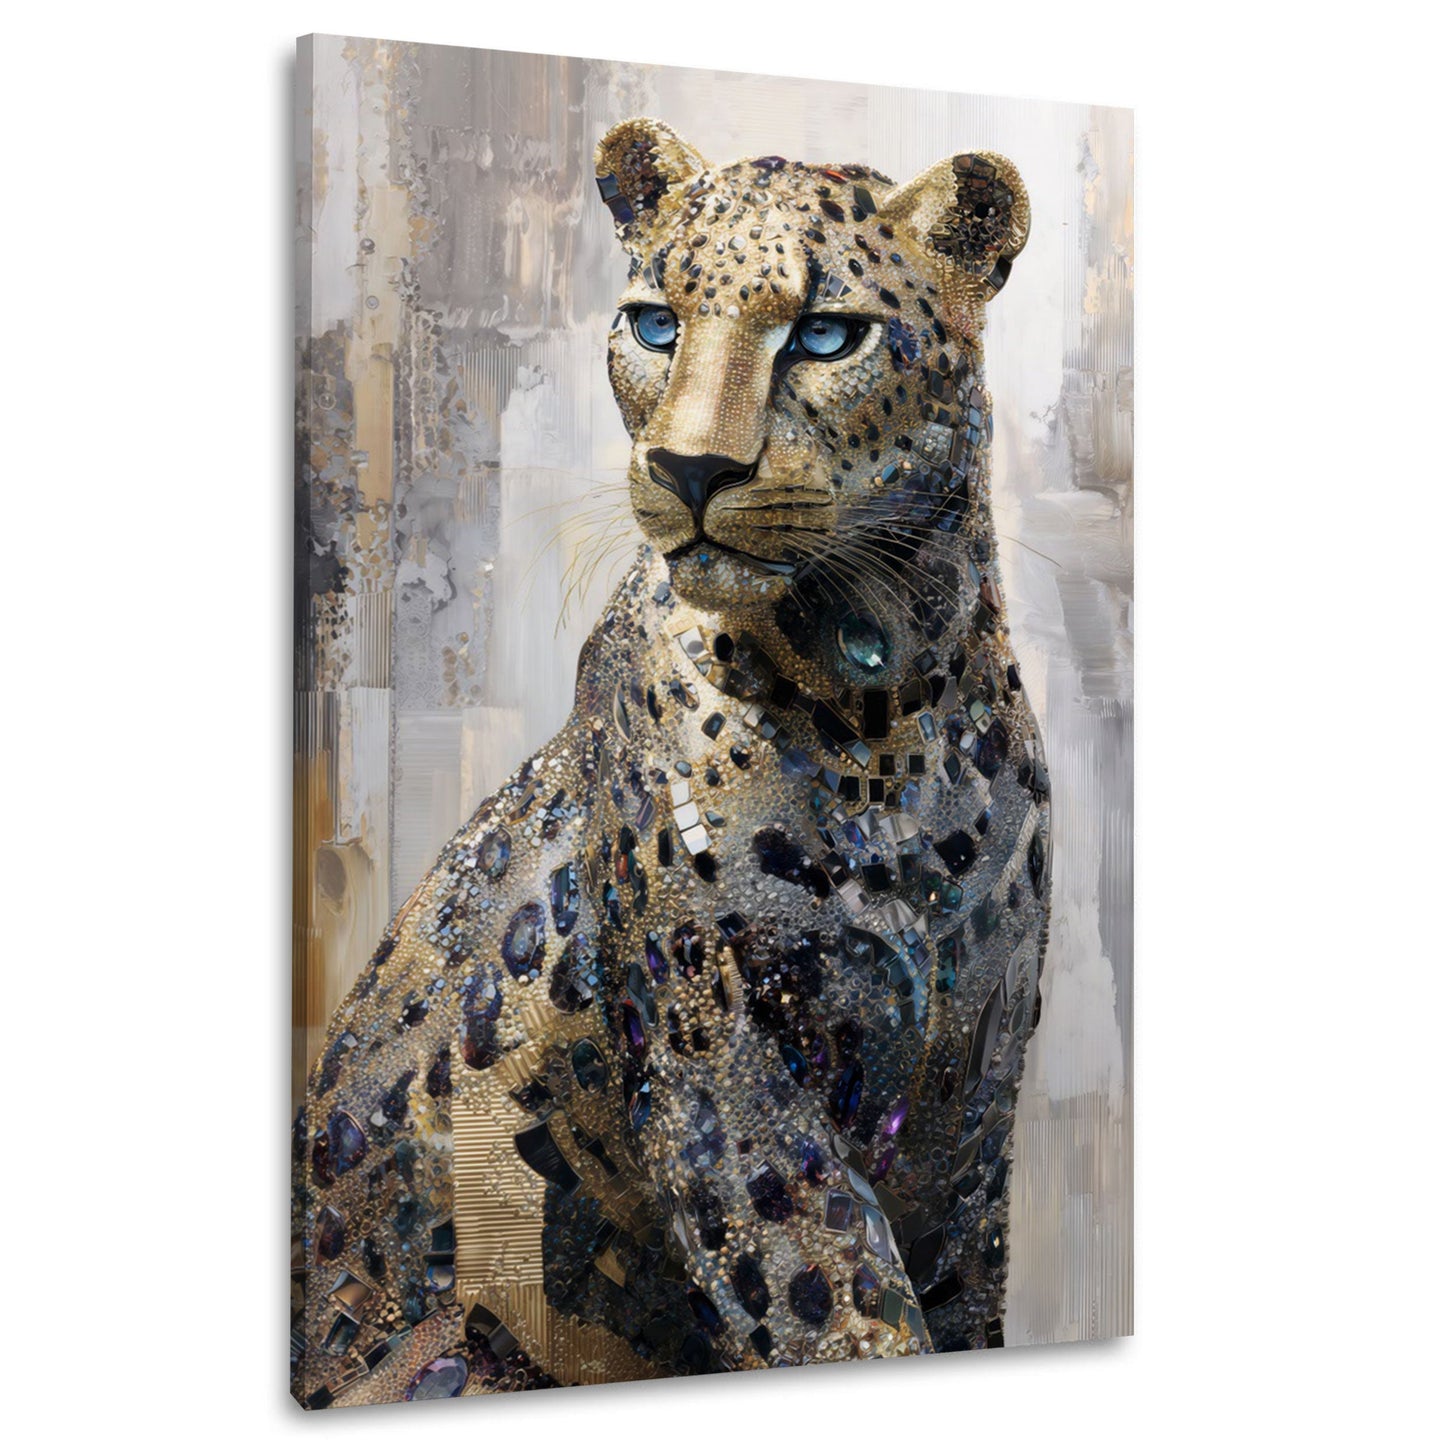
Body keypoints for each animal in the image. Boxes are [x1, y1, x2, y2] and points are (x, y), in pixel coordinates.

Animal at [291, 116, 1051, 1407]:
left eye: (824, 332)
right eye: (655, 323)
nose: (693, 471)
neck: (882, 702)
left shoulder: (967, 1100)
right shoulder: (725, 1076)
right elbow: (835, 1298)